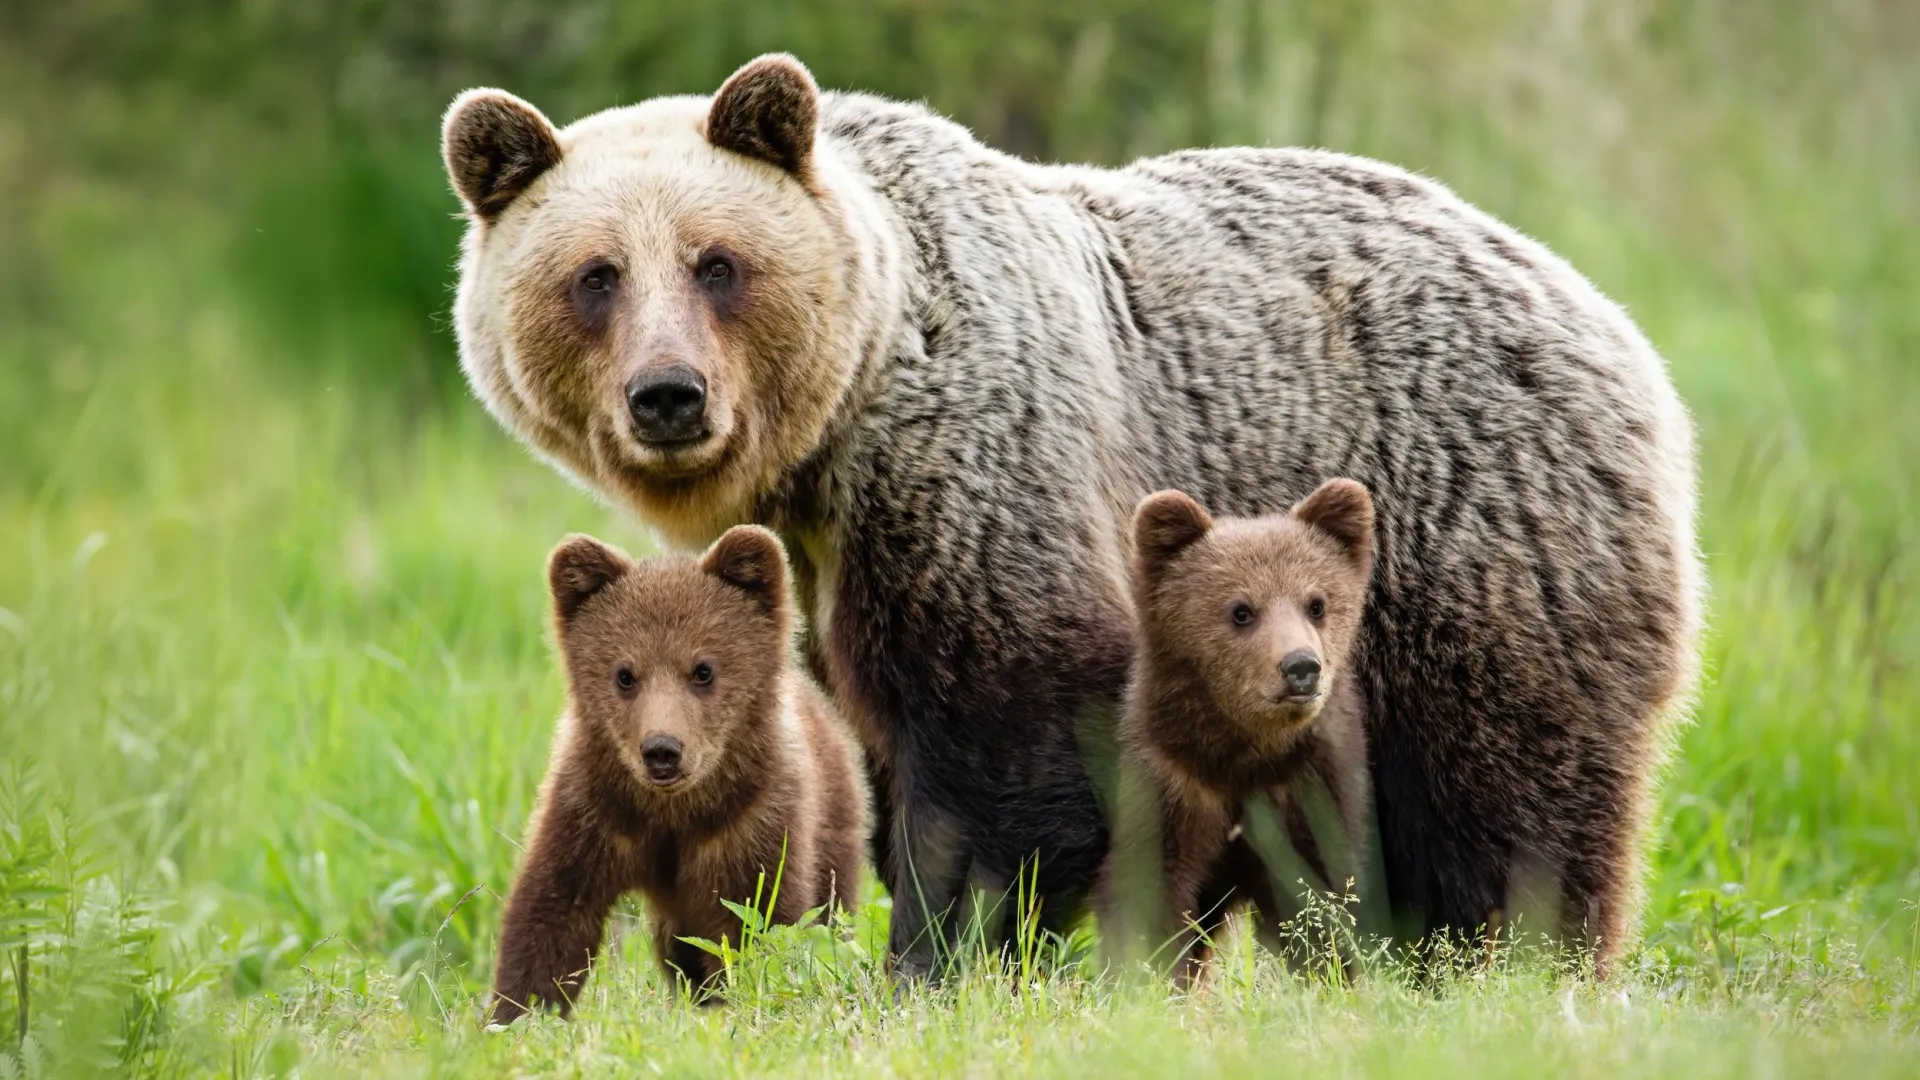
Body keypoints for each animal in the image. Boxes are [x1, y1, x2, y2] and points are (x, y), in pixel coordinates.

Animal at [441, 52, 1704, 976]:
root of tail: (1600, 311)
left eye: (717, 263)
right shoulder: (832, 577)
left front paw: (937, 959)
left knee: (1507, 802)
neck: (832, 447)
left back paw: (1507, 962)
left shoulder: (978, 479)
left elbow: (1005, 740)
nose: (669, 395)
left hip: (1474, 542)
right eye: (595, 275)